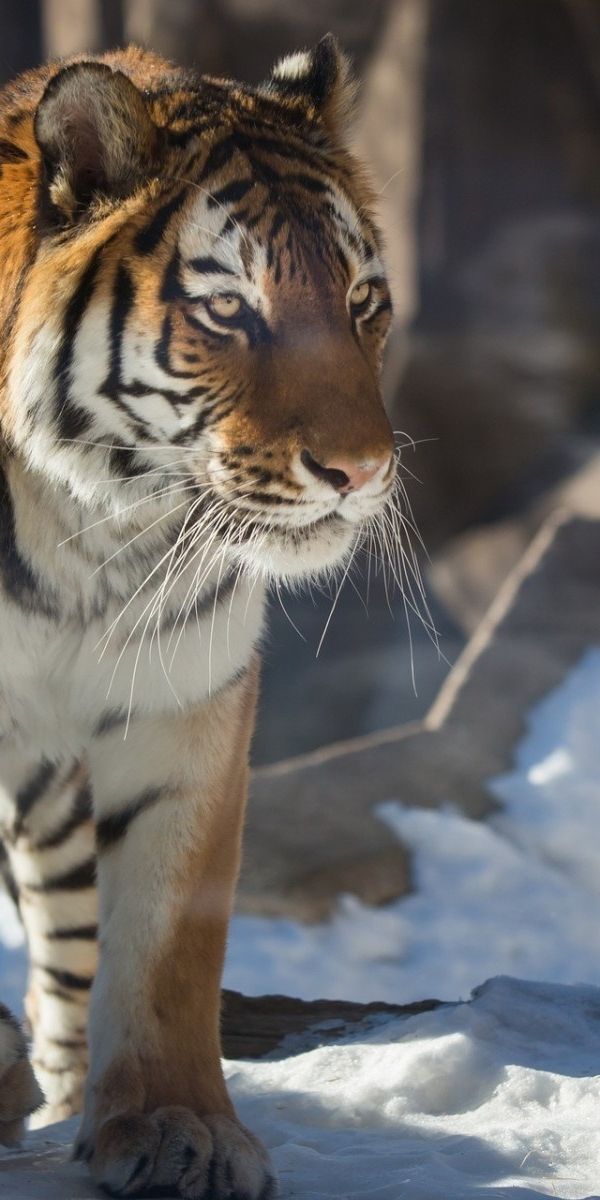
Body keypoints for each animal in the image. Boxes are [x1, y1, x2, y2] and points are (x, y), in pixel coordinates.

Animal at [0, 32, 396, 1195]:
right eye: (230, 312)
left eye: (362, 301)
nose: (363, 471)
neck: (91, 535)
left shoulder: (185, 706)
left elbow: (170, 939)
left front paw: (176, 1125)